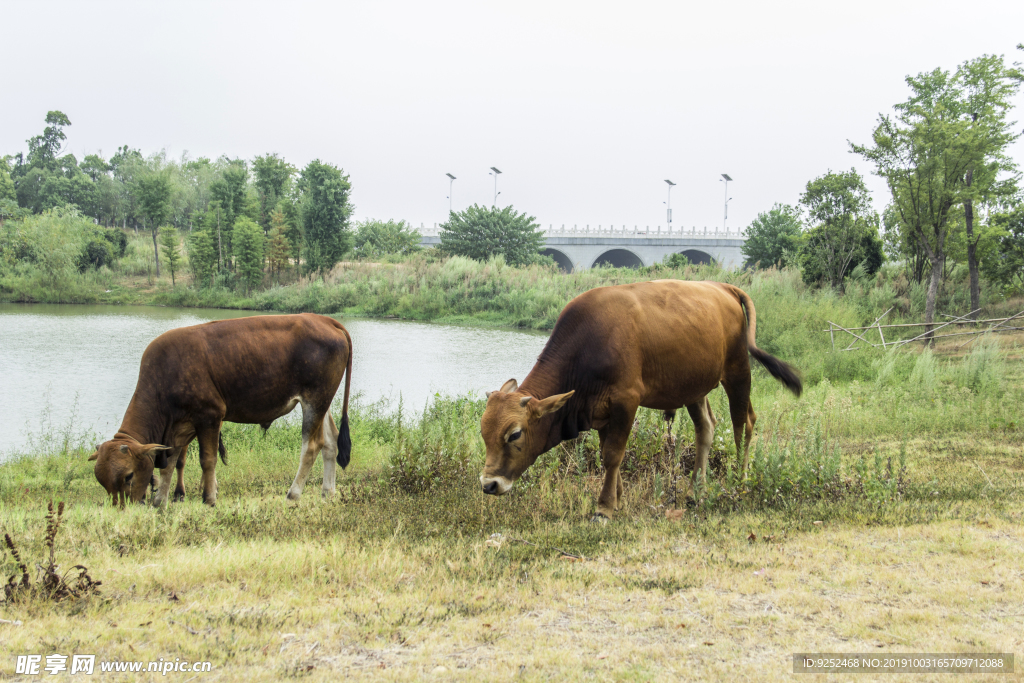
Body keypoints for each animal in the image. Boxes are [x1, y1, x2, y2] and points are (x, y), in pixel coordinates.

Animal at [93, 313, 356, 507]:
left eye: (128, 476)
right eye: (102, 482)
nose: (122, 508)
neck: (164, 375)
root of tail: (324, 320)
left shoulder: (209, 416)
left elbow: (207, 460)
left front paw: (209, 498)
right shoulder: (179, 426)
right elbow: (171, 462)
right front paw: (160, 501)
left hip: (314, 400)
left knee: (311, 446)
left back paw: (293, 494)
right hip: (321, 402)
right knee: (330, 442)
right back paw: (327, 492)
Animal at [477, 280, 798, 520]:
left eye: (514, 434)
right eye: (483, 433)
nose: (489, 484)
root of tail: (723, 286)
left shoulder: (626, 401)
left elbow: (613, 455)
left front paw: (604, 508)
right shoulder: (600, 412)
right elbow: (607, 454)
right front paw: (617, 499)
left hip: (738, 372)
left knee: (743, 424)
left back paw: (740, 482)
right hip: (694, 387)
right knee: (706, 428)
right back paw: (695, 492)